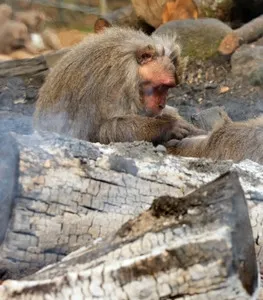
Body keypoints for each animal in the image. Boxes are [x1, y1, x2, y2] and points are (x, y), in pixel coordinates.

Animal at [33, 26, 206, 146]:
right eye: (161, 86)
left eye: (168, 87)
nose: (161, 104)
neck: (132, 69)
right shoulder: (115, 83)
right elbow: (101, 130)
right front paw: (168, 127)